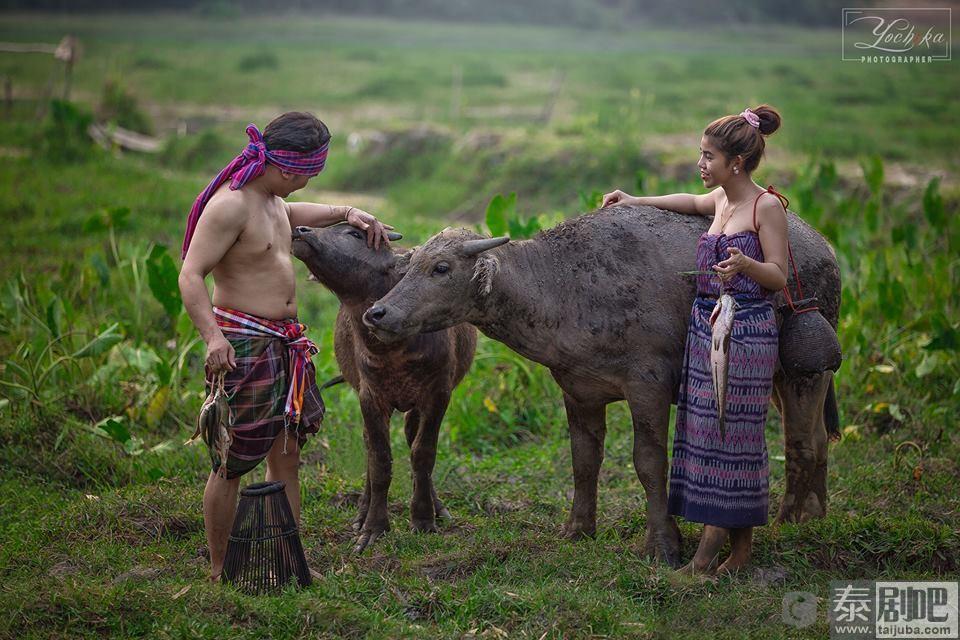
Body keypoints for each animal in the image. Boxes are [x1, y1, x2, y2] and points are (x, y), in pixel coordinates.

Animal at [288, 221, 476, 552]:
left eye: (355, 234)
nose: (301, 229)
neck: (394, 347)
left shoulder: (438, 393)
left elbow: (423, 453)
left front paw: (423, 519)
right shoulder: (370, 396)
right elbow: (379, 460)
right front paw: (373, 526)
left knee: (413, 441)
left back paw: (437, 506)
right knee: (369, 445)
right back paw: (362, 512)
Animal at [360, 205, 840, 564]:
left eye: (441, 268)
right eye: (410, 264)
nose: (378, 313)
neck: (564, 286)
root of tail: (823, 245)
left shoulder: (648, 387)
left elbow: (649, 462)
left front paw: (663, 544)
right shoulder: (578, 390)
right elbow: (584, 461)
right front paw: (578, 529)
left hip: (805, 369)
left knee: (802, 441)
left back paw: (786, 522)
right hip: (779, 381)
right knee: (817, 437)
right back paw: (816, 515)